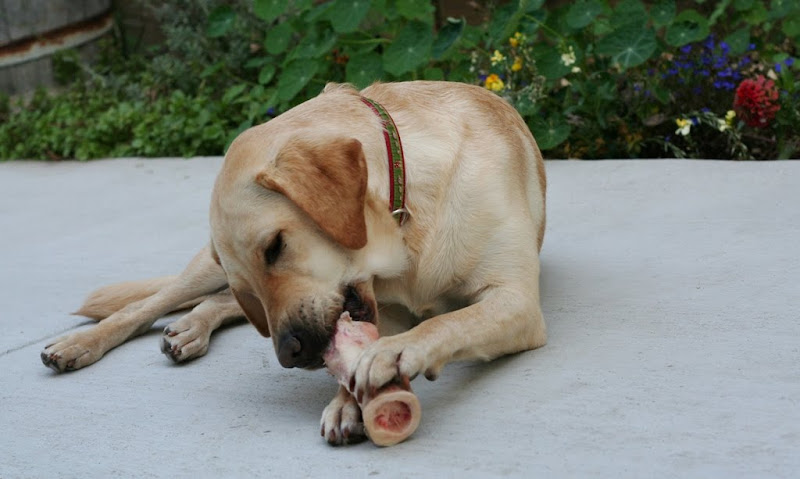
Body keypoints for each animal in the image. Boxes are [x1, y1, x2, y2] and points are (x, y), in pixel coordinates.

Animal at [40, 81, 548, 446]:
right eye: (263, 261)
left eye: (276, 246)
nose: (289, 354)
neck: (407, 220)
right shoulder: (375, 306)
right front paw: (346, 400)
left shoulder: (516, 302)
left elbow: (444, 323)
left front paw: (392, 355)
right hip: (209, 266)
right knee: (151, 304)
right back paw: (80, 343)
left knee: (218, 305)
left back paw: (189, 329)